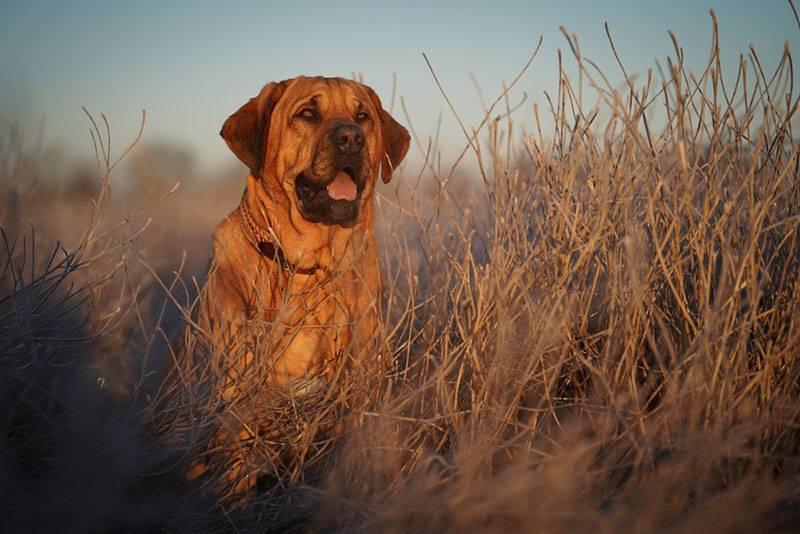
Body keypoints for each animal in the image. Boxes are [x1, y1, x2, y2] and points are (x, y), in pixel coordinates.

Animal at [177, 76, 410, 502]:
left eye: (363, 117)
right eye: (308, 113)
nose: (351, 139)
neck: (310, 269)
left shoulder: (360, 393)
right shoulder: (237, 400)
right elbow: (235, 470)